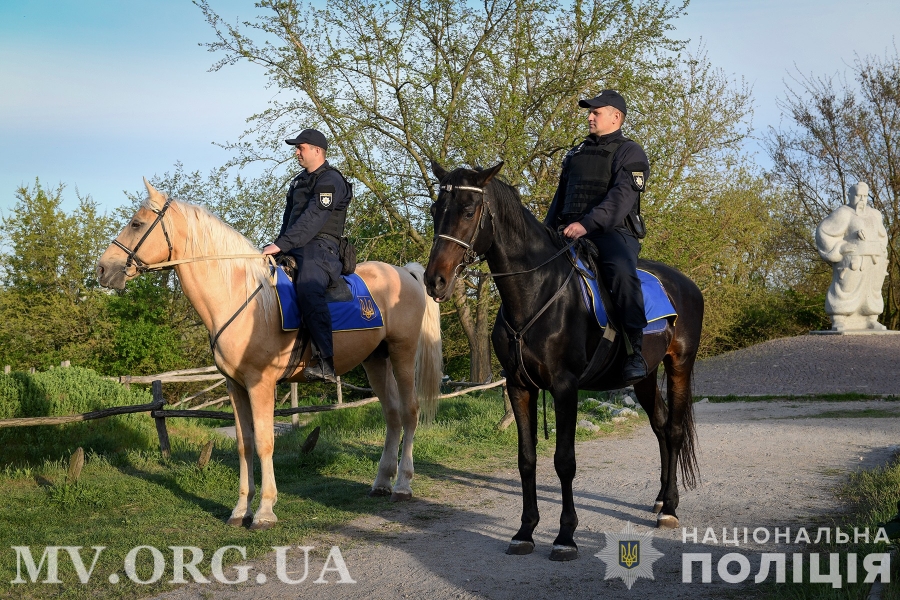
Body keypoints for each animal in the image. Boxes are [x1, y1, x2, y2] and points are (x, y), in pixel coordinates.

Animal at [97, 179, 442, 530]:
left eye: (136, 224)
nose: (102, 268)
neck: (239, 297)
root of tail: (405, 274)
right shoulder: (235, 386)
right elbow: (245, 444)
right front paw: (240, 510)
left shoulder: (260, 384)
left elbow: (265, 443)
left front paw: (264, 511)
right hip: (375, 360)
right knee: (392, 416)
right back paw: (382, 483)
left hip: (402, 354)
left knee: (409, 412)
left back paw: (402, 485)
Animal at [424, 162, 703, 561]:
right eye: (436, 210)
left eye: (467, 210)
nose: (435, 281)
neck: (536, 291)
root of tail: (686, 284)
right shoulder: (519, 387)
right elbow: (527, 459)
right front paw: (525, 530)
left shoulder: (565, 387)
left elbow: (564, 460)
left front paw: (565, 536)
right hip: (645, 376)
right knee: (661, 426)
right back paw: (662, 498)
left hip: (679, 365)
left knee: (676, 430)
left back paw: (670, 510)